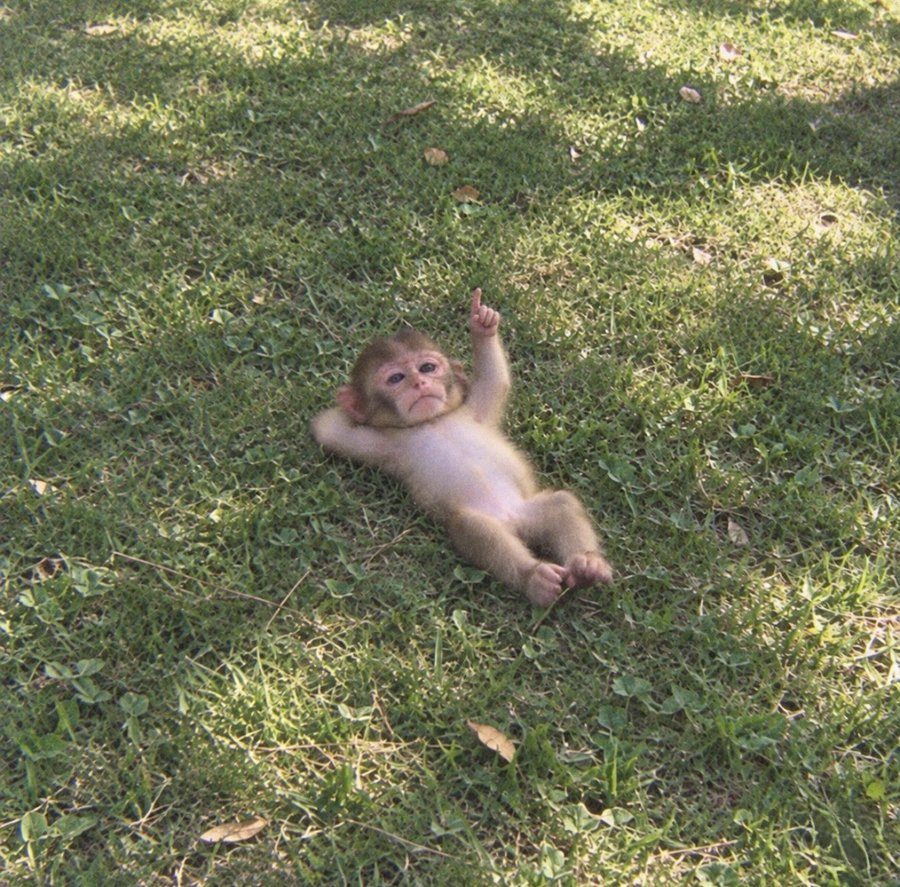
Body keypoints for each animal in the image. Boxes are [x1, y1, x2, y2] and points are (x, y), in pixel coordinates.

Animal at [311, 288, 613, 607]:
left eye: (427, 367)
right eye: (396, 378)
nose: (420, 383)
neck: (433, 420)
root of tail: (514, 521)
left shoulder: (473, 412)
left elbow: (495, 381)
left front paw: (482, 324)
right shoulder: (385, 443)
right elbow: (327, 431)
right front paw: (347, 403)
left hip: (531, 511)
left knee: (562, 504)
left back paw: (586, 565)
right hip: (486, 520)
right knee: (472, 528)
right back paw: (535, 578)